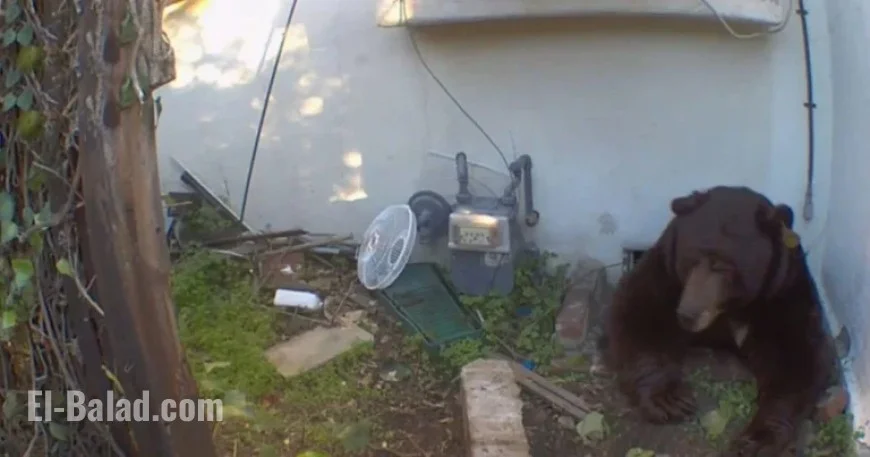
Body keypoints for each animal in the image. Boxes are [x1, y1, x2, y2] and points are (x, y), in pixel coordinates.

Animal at [603, 185, 834, 456]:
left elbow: (799, 354)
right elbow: (640, 311)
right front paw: (670, 400)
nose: (688, 314)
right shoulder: (667, 273)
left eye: (724, 267)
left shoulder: (781, 293)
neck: (731, 308)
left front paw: (758, 438)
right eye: (691, 258)